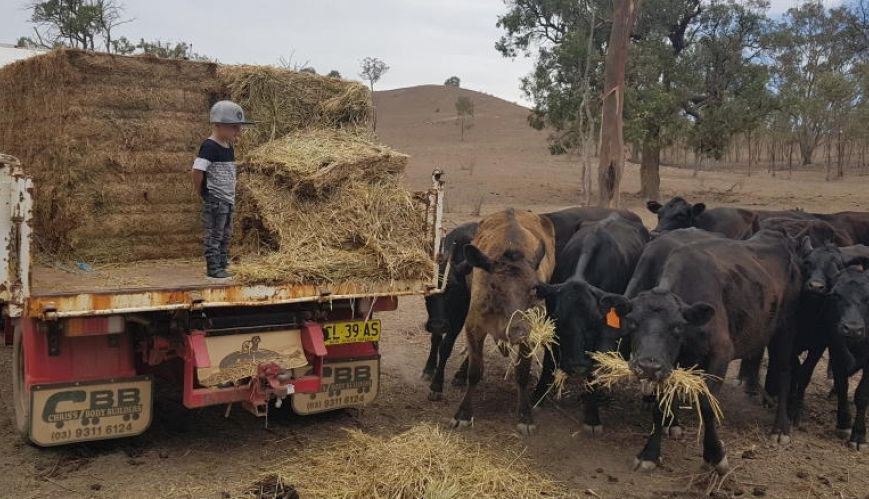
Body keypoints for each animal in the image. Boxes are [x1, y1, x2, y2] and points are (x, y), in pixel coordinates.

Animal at [448, 207, 556, 434]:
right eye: (494, 285)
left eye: (534, 287)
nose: (518, 331)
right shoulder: (473, 325)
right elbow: (475, 371)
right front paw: (463, 413)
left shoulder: (531, 333)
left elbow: (522, 373)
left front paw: (525, 415)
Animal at [532, 213, 648, 432]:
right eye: (559, 319)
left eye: (594, 321)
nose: (577, 366)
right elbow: (549, 360)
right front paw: (537, 397)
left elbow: (595, 368)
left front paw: (592, 416)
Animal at [600, 230, 796, 472]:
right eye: (633, 323)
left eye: (677, 327)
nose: (648, 366)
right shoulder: (669, 364)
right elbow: (659, 404)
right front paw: (650, 453)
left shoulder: (721, 353)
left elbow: (707, 404)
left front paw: (715, 455)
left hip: (785, 330)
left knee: (785, 371)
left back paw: (781, 428)